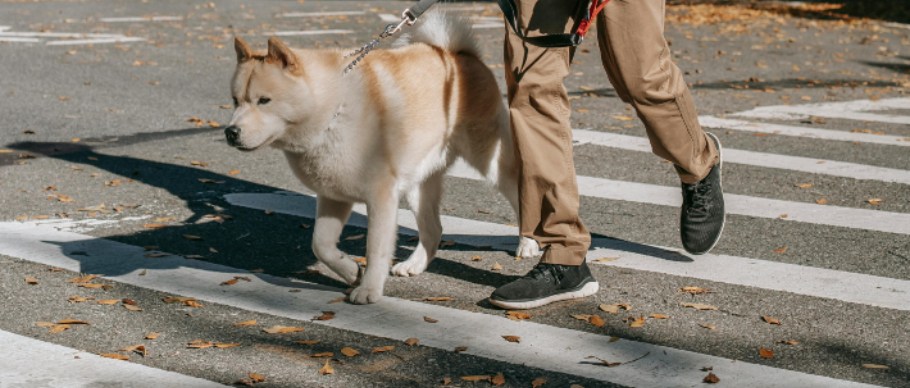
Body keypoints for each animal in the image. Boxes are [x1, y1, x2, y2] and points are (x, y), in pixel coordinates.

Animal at [226, 11, 540, 304]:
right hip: (418, 184)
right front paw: (351, 271)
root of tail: (458, 54)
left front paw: (369, 290)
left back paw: (528, 244)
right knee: (433, 230)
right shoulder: (333, 196)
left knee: (522, 196)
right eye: (235, 100)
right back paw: (414, 264)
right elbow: (321, 245)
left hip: (491, 162)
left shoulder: (380, 196)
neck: (333, 111)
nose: (230, 132)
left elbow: (376, 249)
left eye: (264, 101)